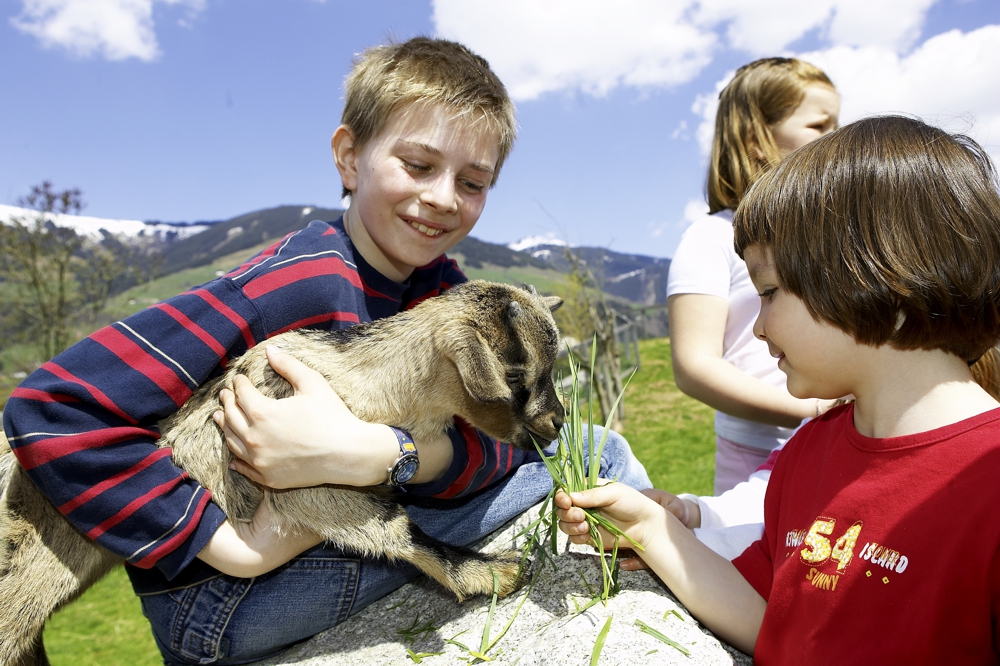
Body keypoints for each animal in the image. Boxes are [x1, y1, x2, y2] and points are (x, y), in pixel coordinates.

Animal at [0, 278, 564, 664]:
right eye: (516, 376)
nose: (558, 421)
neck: (369, 384)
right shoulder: (307, 484)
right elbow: (397, 528)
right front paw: (491, 572)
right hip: (30, 566)